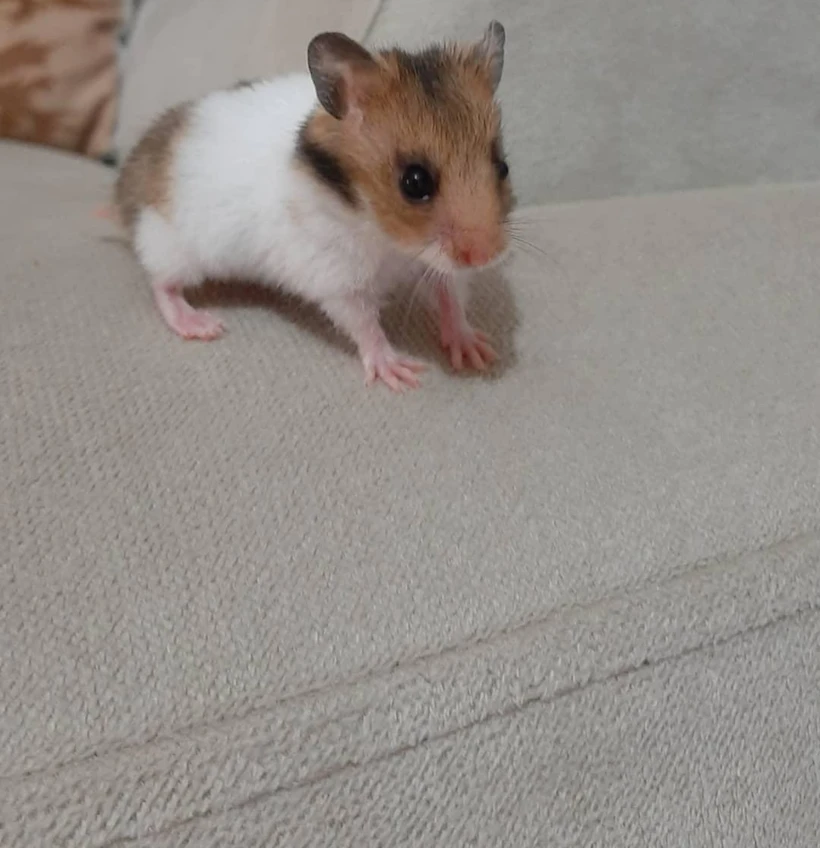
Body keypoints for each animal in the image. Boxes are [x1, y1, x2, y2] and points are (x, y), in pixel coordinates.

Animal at [113, 22, 512, 391]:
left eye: (502, 166)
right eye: (415, 182)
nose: (486, 256)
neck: (385, 237)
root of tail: (124, 186)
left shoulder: (437, 268)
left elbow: (451, 300)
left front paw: (477, 352)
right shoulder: (336, 279)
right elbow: (364, 325)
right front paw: (399, 372)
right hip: (173, 245)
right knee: (161, 284)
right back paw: (201, 325)